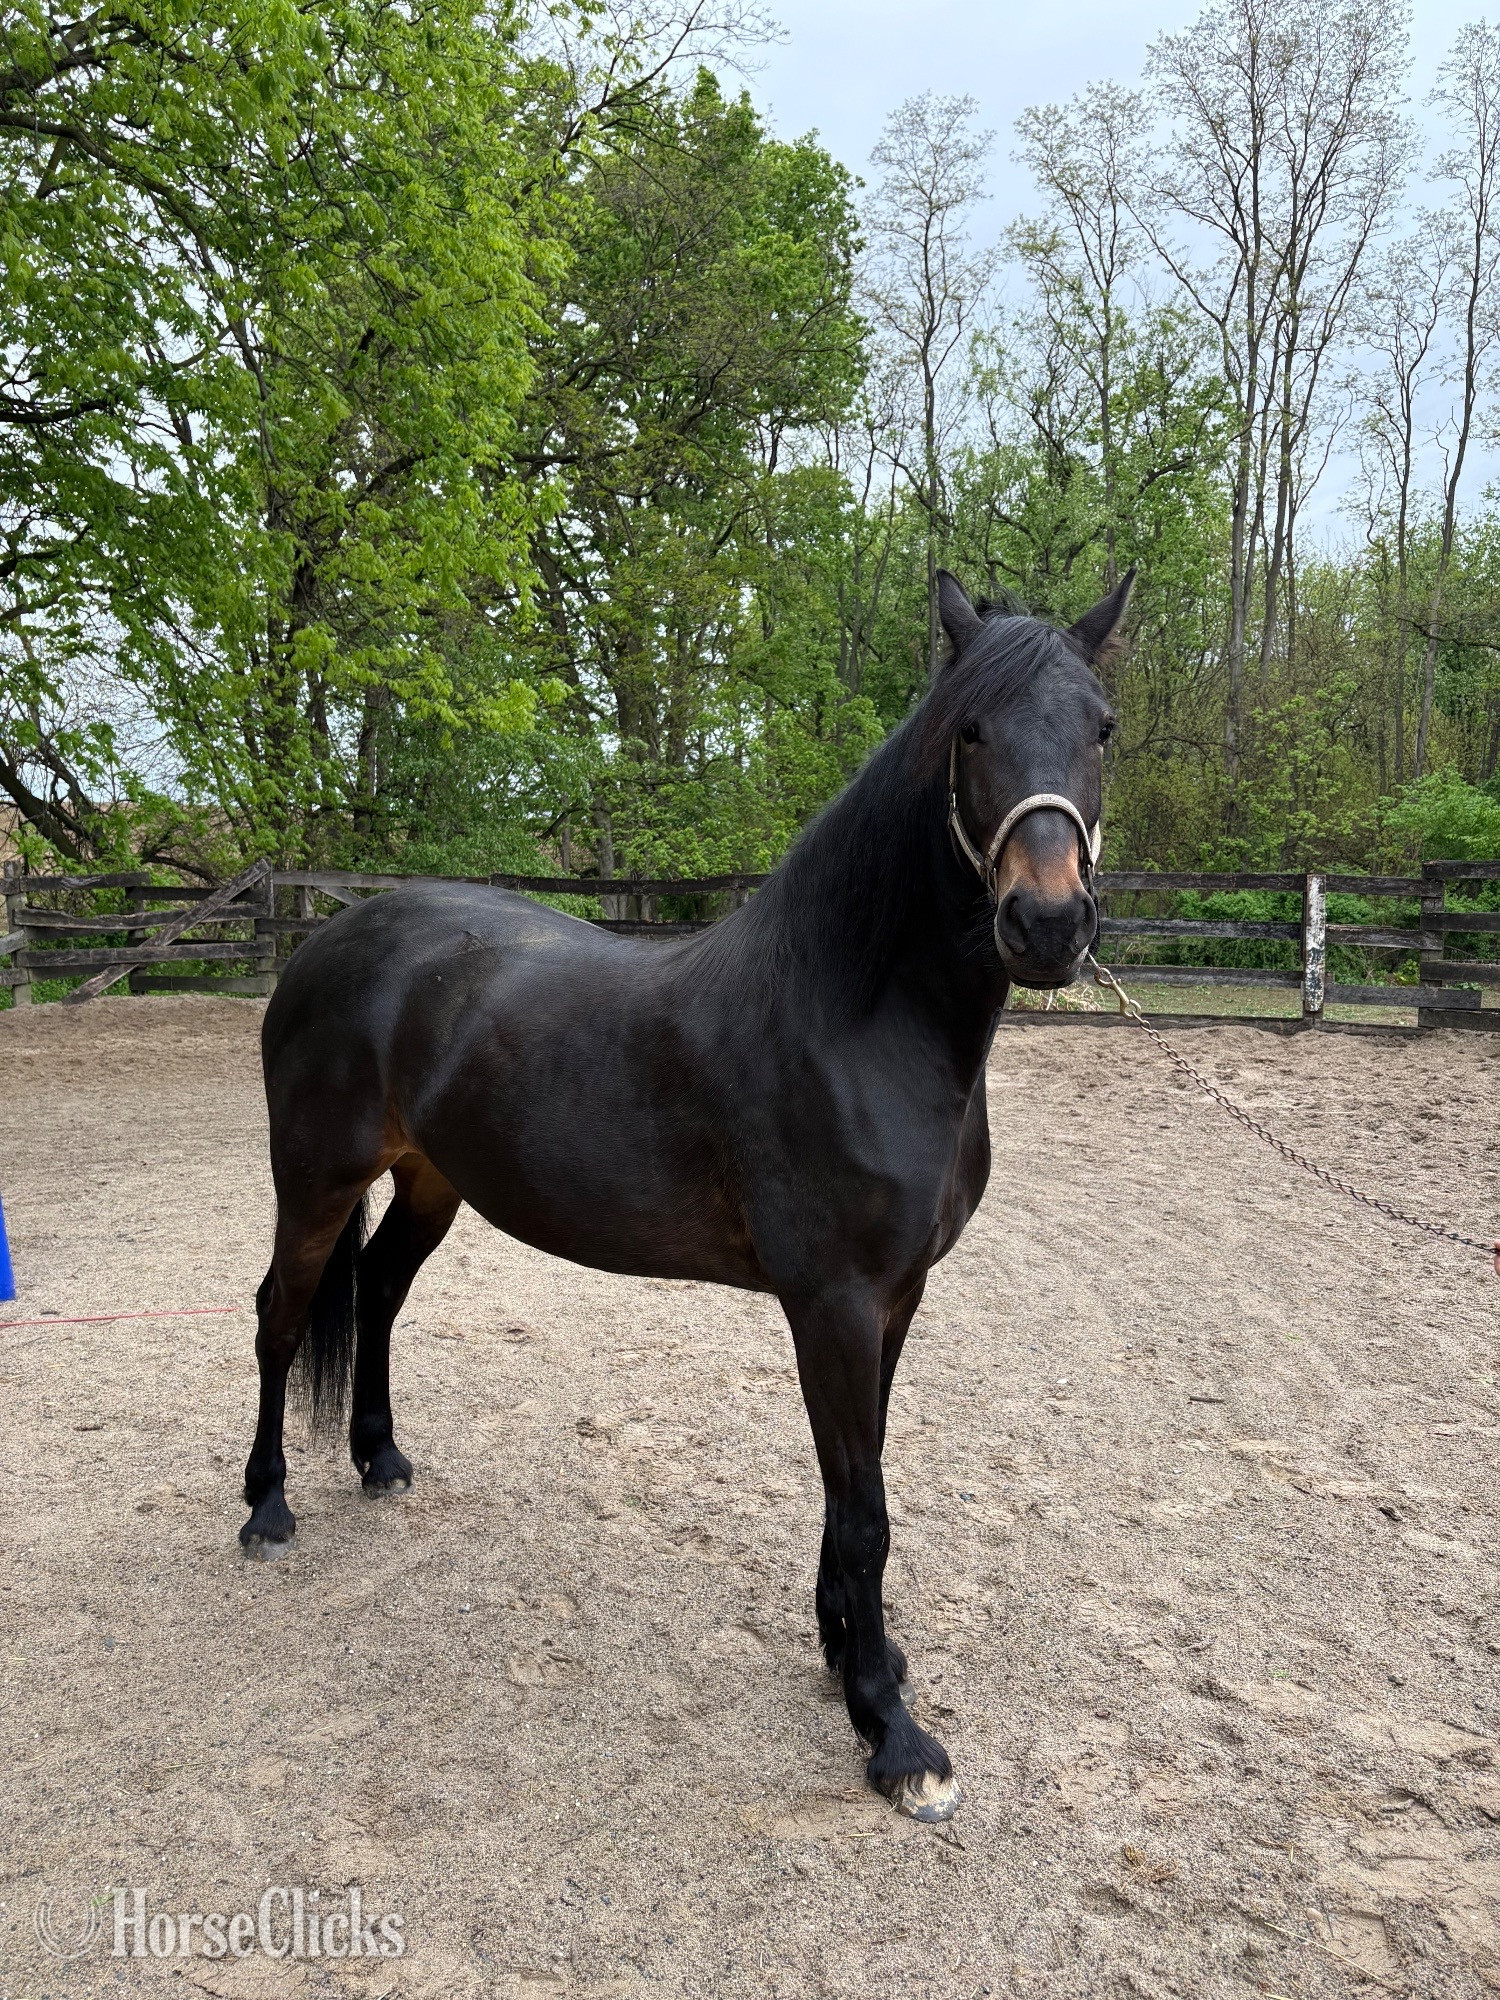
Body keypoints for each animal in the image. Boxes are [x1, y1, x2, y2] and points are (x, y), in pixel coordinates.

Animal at [240, 566, 1130, 1822]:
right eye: (971, 731)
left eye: (1101, 728)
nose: (1047, 923)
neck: (849, 1016)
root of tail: (327, 939)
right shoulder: (834, 1304)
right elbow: (864, 1507)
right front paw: (894, 1734)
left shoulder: (893, 1301)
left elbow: (856, 1484)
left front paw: (852, 1656)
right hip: (316, 1176)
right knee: (279, 1314)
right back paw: (268, 1508)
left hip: (429, 1182)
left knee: (374, 1291)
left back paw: (380, 1459)